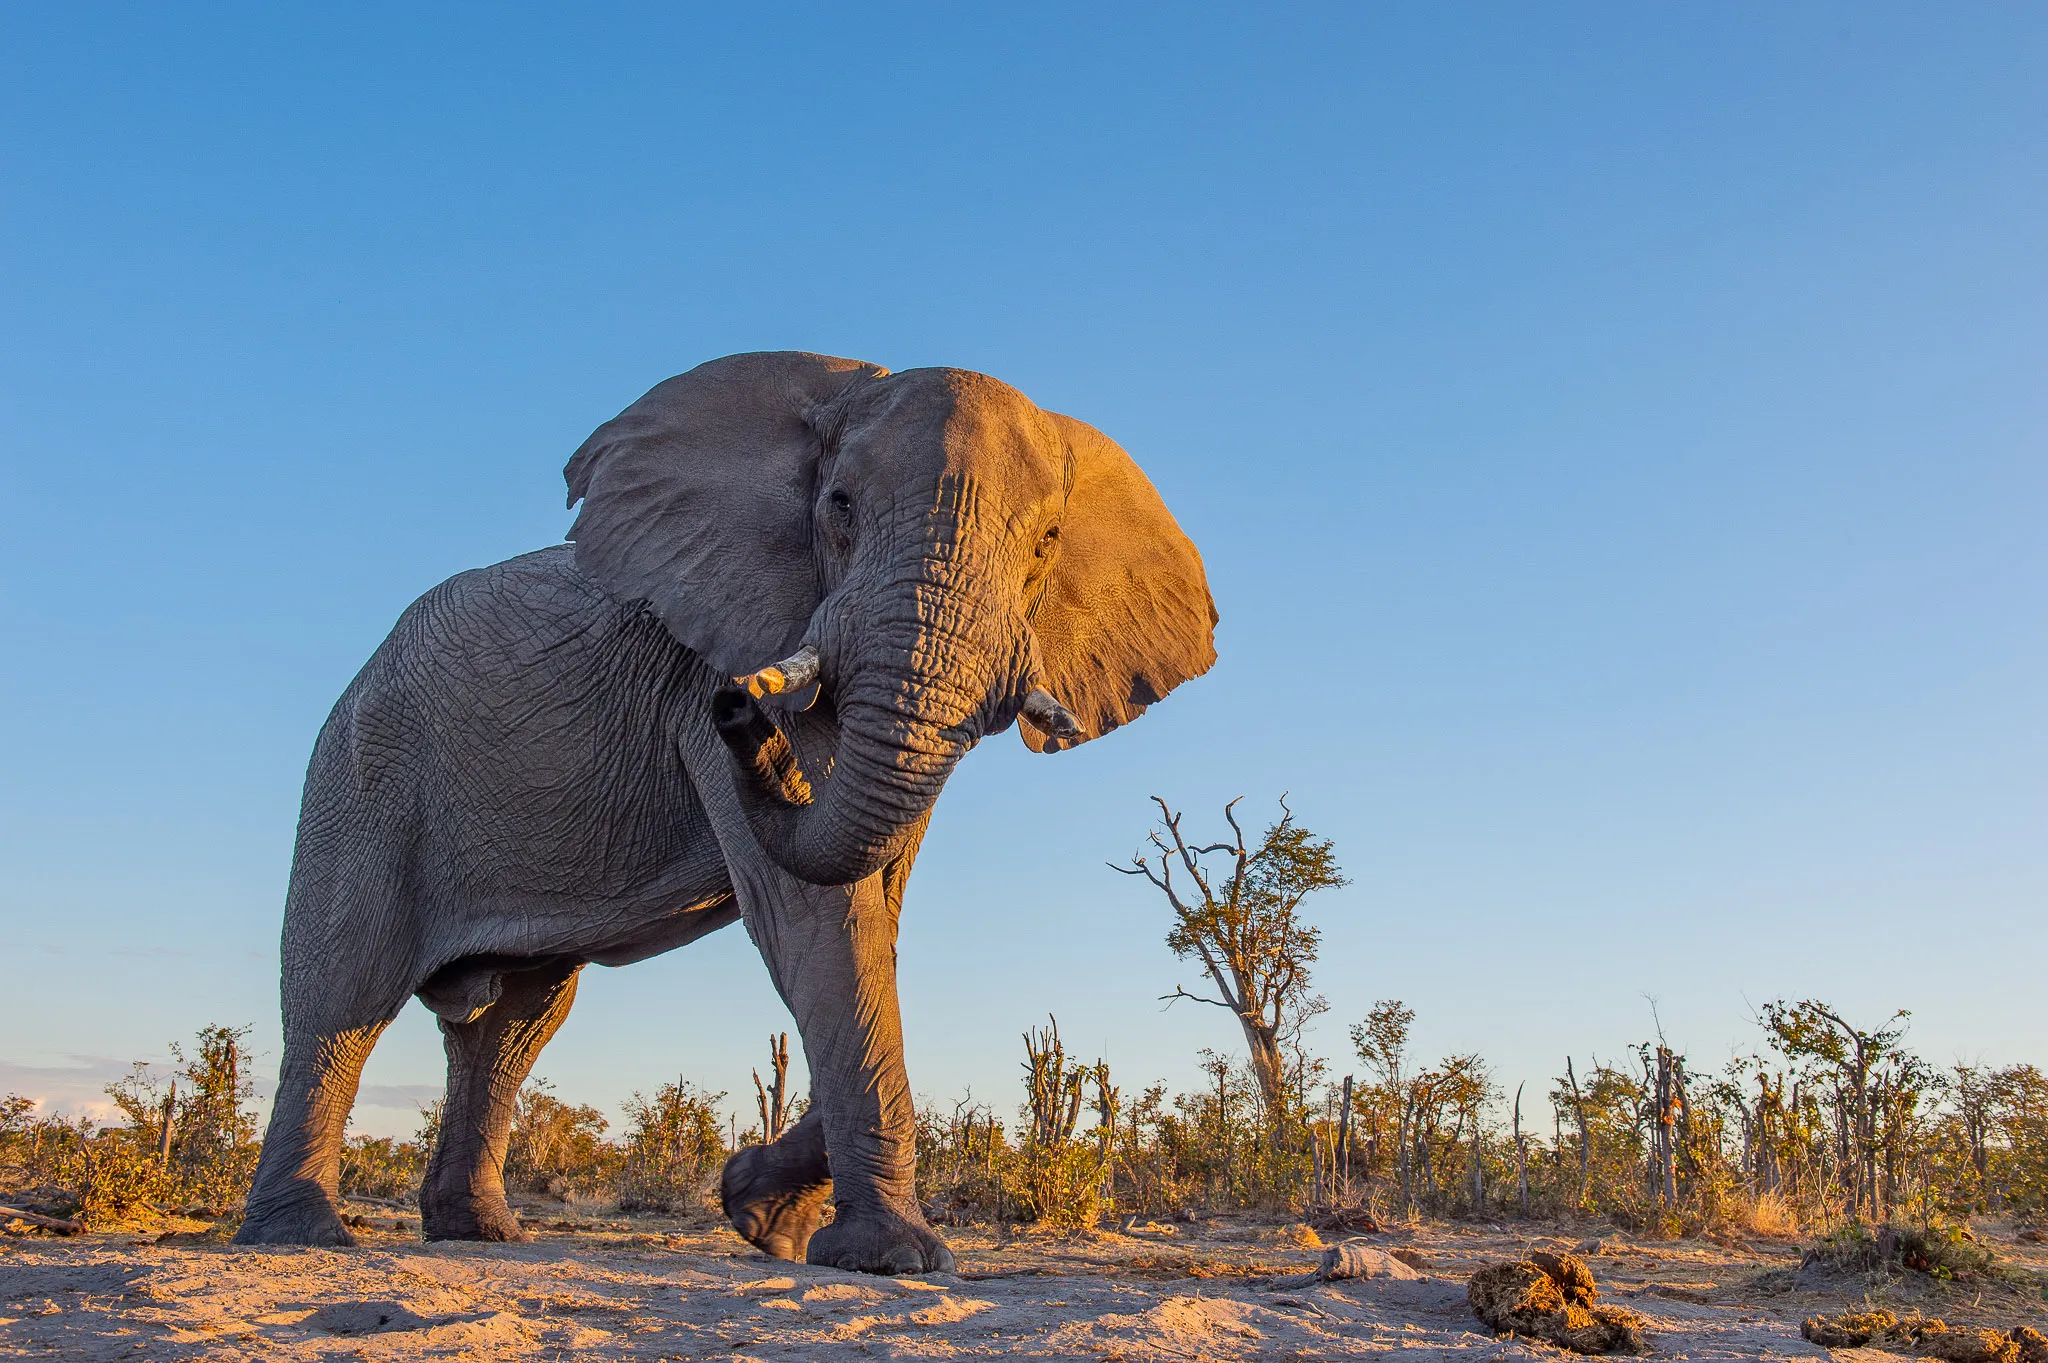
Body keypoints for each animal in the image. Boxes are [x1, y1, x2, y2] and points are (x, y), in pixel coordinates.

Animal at [233, 351, 1217, 1273]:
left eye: (1047, 541)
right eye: (840, 506)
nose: (738, 707)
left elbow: (873, 916)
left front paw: (762, 1217)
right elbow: (817, 914)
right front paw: (891, 1258)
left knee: (513, 1024)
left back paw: (479, 1231)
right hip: (362, 773)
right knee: (344, 996)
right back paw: (302, 1236)